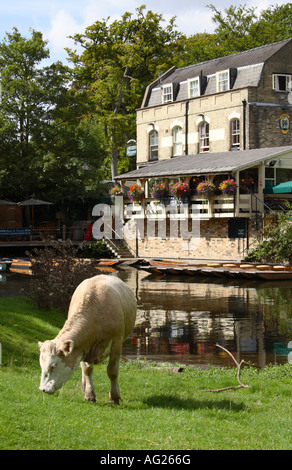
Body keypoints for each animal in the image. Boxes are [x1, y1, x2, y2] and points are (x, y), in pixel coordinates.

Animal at [38, 276, 137, 404]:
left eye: (53, 366)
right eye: (41, 365)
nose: (42, 389)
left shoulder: (117, 343)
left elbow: (113, 371)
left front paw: (114, 397)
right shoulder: (83, 347)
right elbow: (87, 370)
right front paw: (89, 394)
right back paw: (84, 387)